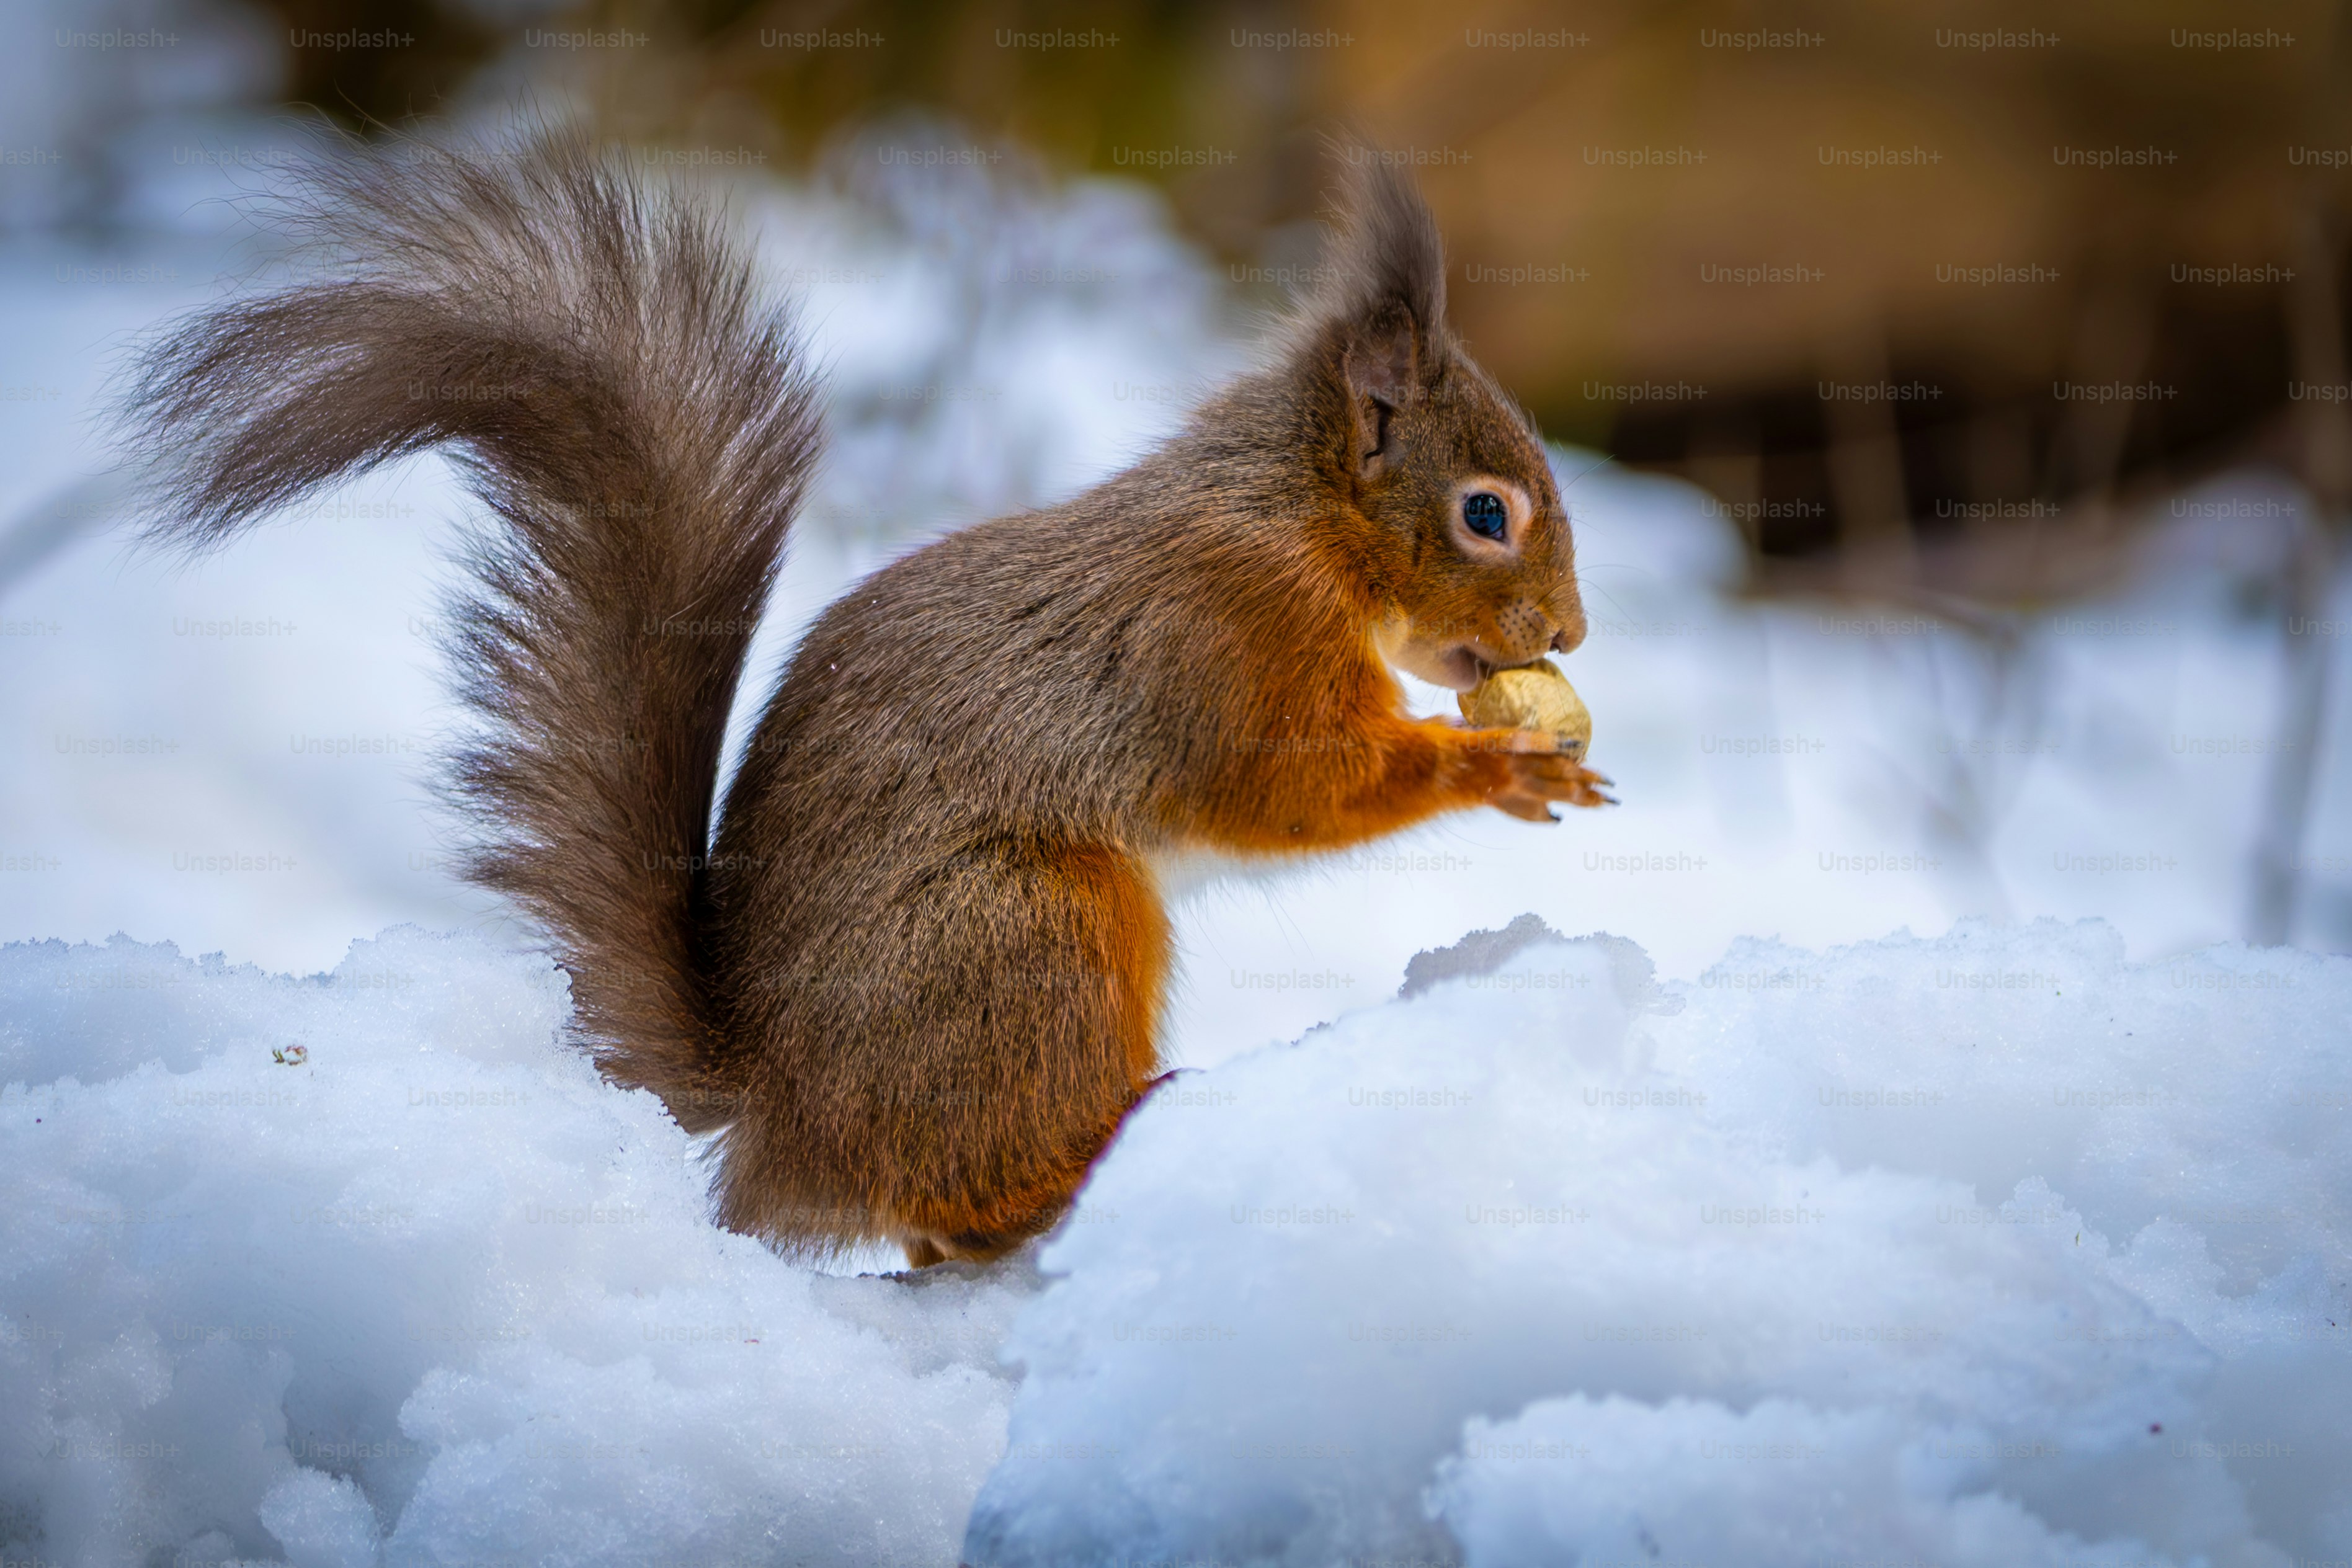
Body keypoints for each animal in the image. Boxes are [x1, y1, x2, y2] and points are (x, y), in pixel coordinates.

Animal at [121, 129, 1608, 1268]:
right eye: (1486, 513)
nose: (1572, 633)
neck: (1298, 525)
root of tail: (778, 1120)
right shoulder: (1227, 642)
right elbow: (1289, 787)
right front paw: (1502, 769)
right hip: (1035, 930)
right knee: (973, 1189)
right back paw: (1098, 1150)